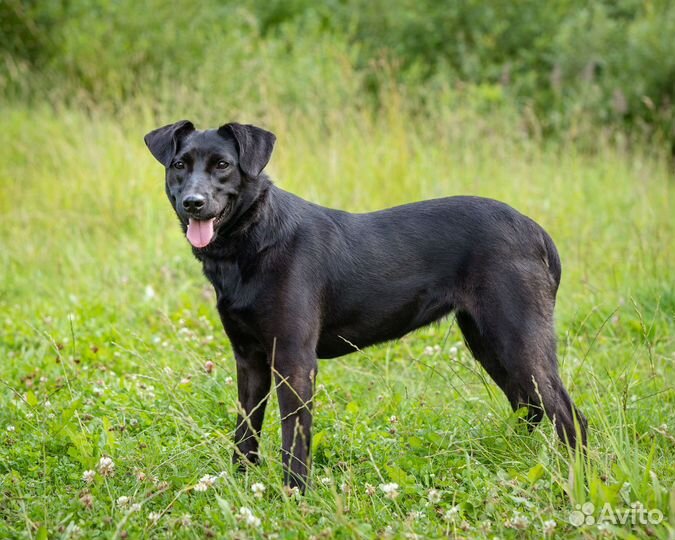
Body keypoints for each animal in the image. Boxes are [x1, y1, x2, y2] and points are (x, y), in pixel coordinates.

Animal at [147, 121, 588, 490]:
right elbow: (245, 433)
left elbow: (294, 442)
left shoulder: (294, 360)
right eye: (179, 165)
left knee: (570, 417)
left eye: (223, 165)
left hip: (517, 340)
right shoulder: (250, 359)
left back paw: (578, 480)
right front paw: (242, 486)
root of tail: (535, 230)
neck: (253, 240)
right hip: (489, 343)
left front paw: (294, 496)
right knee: (530, 407)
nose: (193, 202)